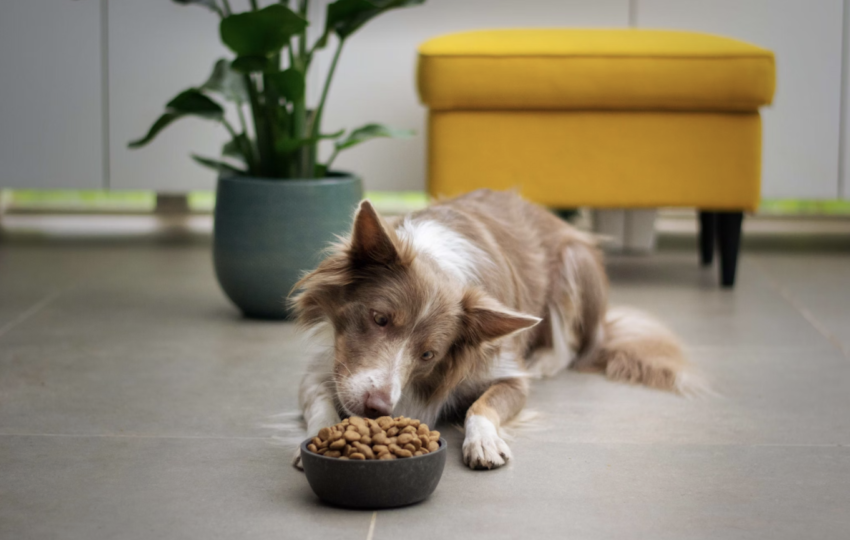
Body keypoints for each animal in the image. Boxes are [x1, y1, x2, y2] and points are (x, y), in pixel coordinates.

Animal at [292, 189, 688, 468]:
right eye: (379, 318)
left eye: (428, 355)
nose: (378, 407)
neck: (437, 262)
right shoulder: (328, 366)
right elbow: (319, 401)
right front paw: (319, 436)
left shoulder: (508, 372)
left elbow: (481, 406)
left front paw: (483, 440)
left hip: (576, 264)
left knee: (575, 346)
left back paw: (545, 361)